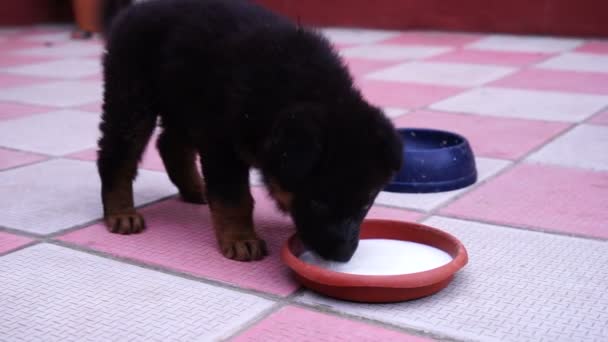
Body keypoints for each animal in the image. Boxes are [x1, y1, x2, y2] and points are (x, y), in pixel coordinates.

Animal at [98, 0, 404, 262]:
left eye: (366, 204)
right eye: (318, 202)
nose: (342, 256)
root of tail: (135, 10)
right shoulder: (221, 144)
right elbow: (234, 198)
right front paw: (241, 239)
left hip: (184, 103)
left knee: (169, 144)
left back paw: (195, 189)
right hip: (132, 98)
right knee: (116, 155)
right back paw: (121, 212)